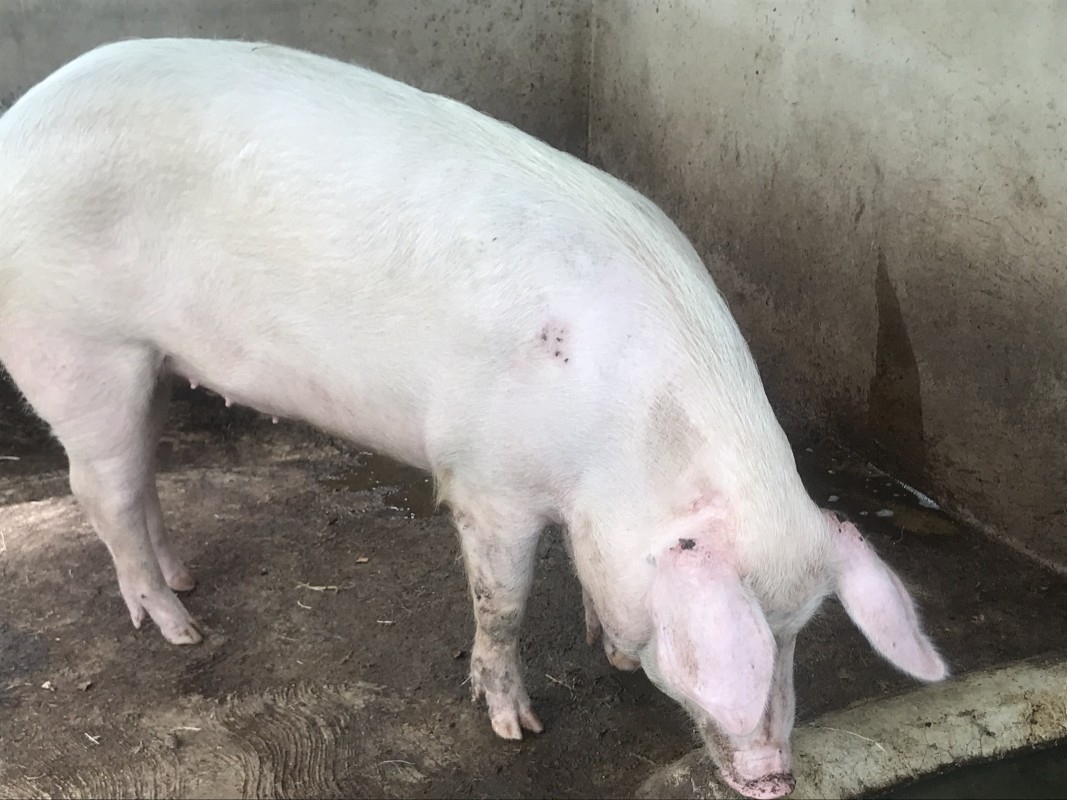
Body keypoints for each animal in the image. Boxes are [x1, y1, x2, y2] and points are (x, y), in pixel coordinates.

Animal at [0, 38, 947, 798]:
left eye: (797, 634)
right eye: (737, 638)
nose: (773, 777)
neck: (618, 445)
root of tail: (20, 120)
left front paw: (605, 648)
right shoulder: (487, 479)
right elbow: (504, 604)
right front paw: (515, 728)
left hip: (146, 364)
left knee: (141, 481)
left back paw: (188, 581)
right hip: (76, 348)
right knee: (100, 492)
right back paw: (180, 626)